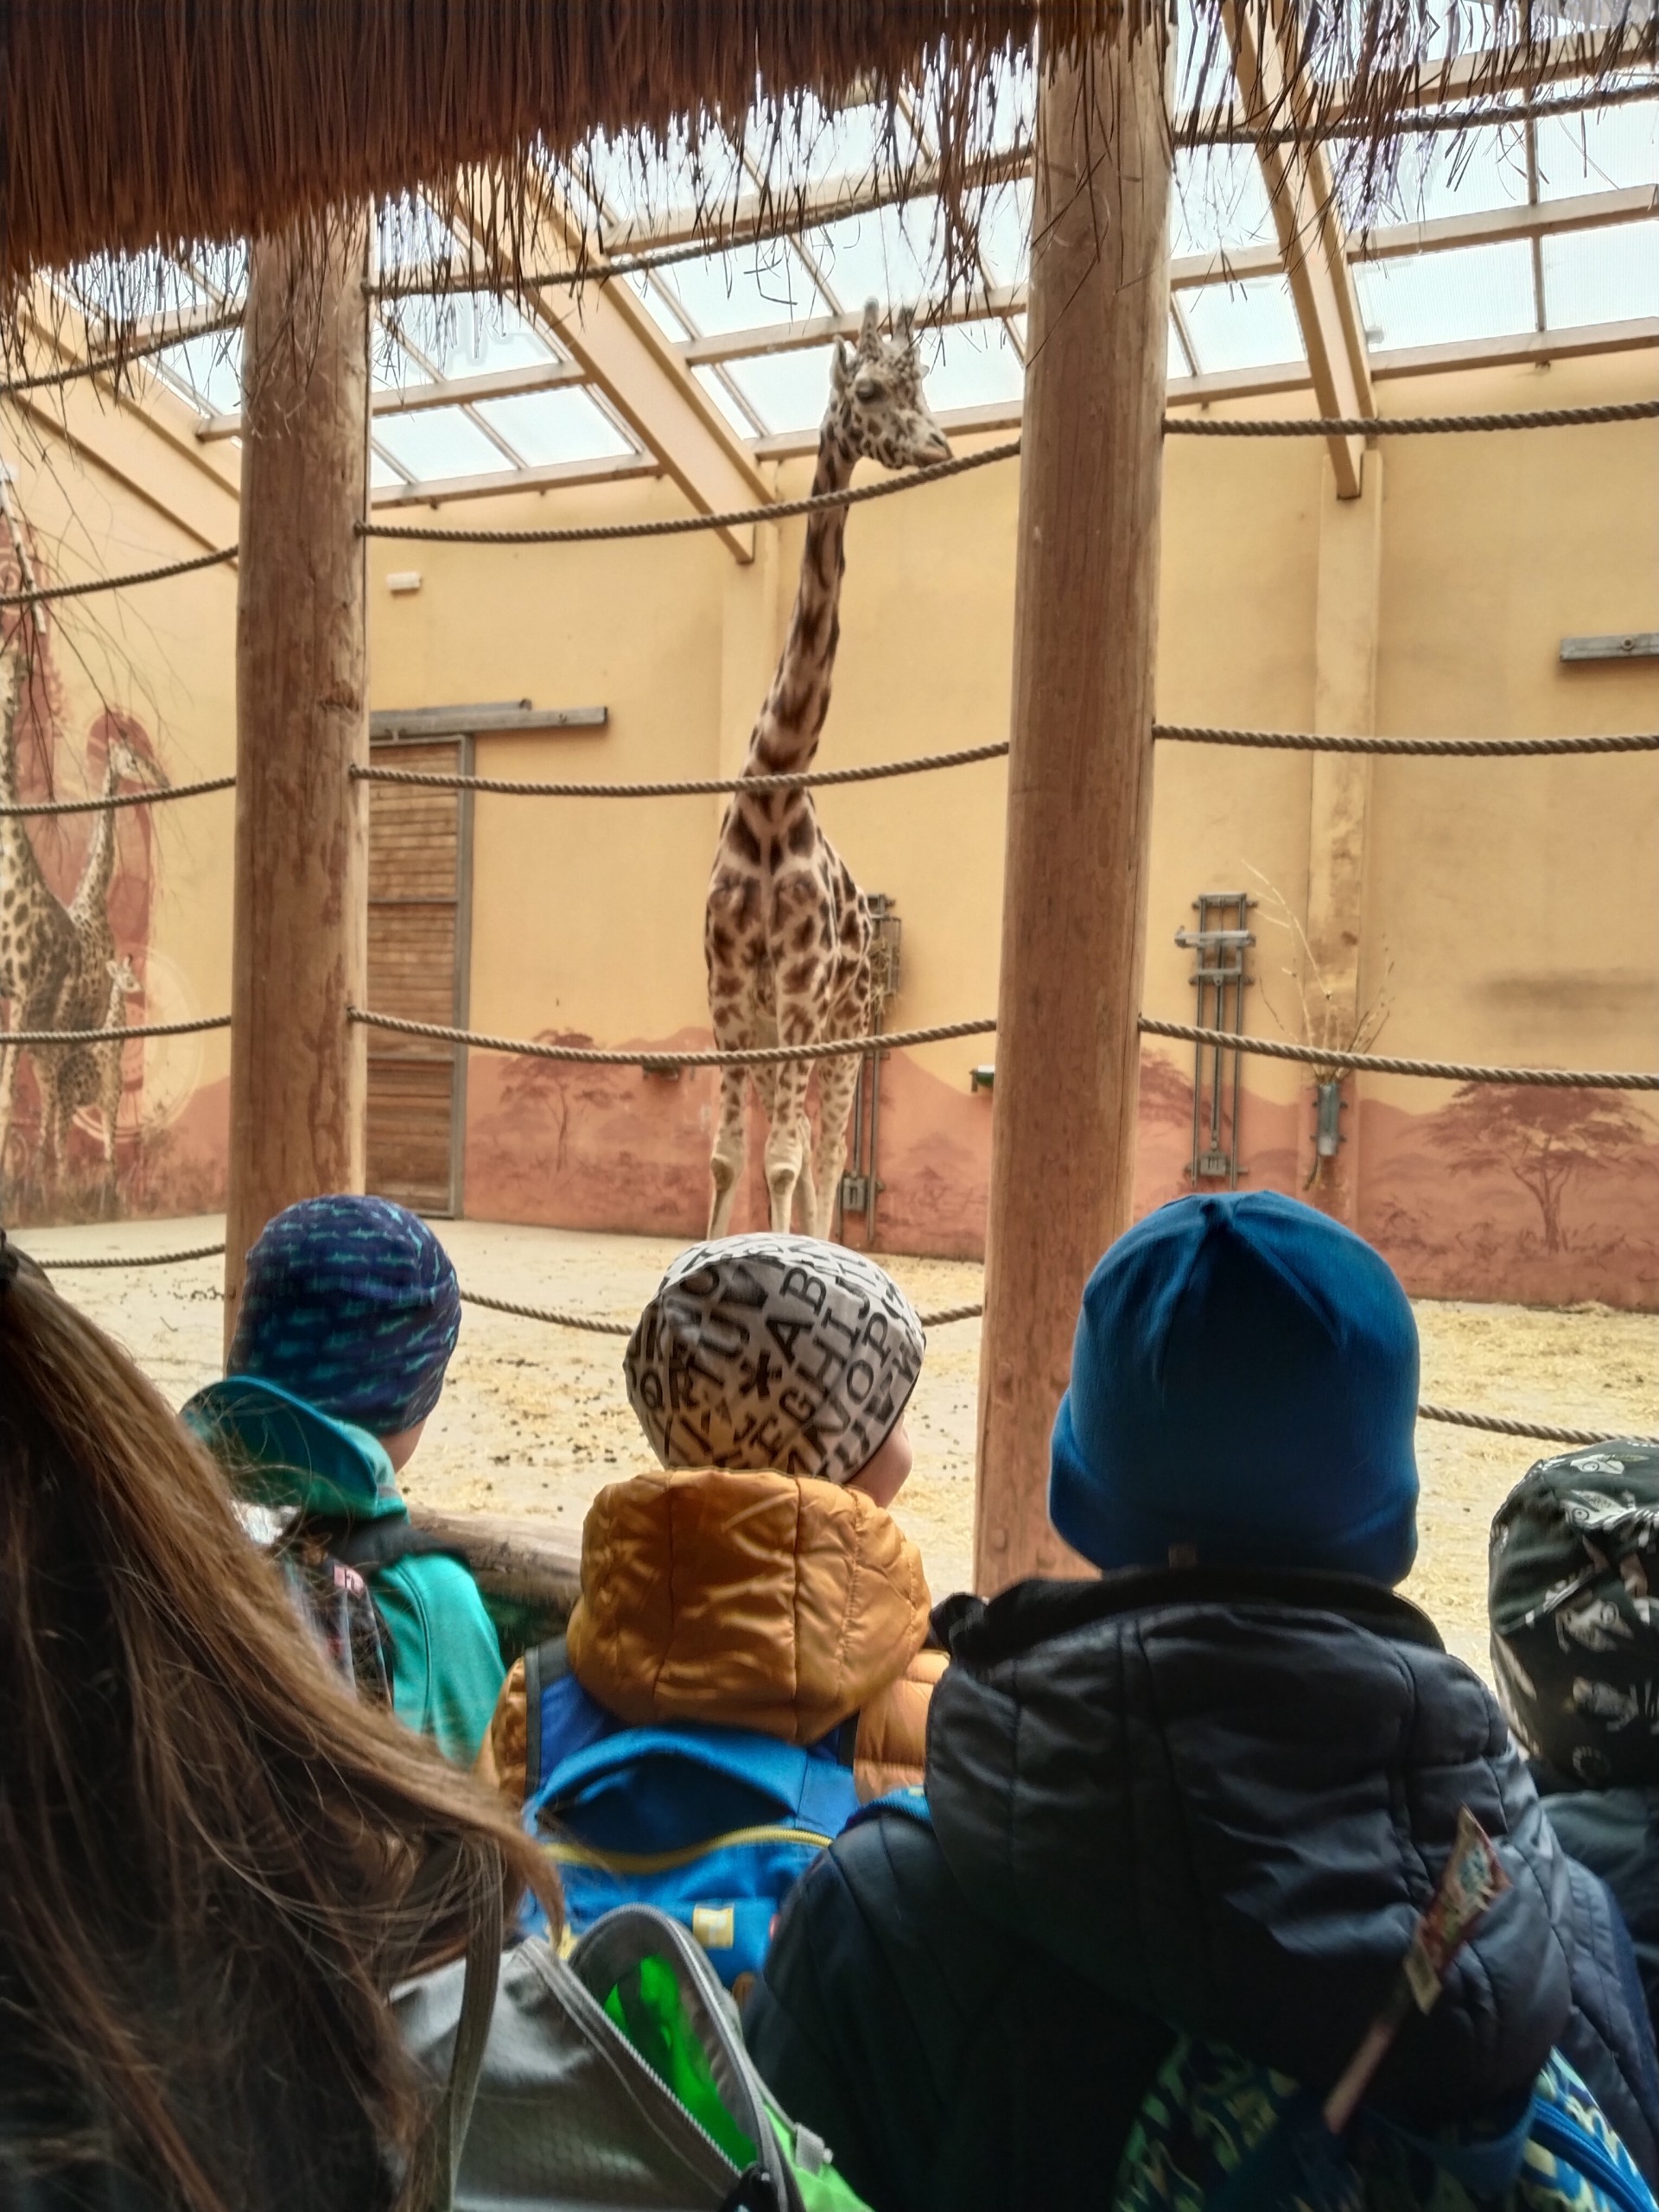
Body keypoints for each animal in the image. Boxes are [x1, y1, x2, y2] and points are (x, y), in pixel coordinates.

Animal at [705, 302, 949, 1239]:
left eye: (926, 389)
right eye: (872, 390)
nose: (941, 443)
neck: (774, 791)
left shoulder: (804, 994)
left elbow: (779, 1160)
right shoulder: (730, 991)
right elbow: (729, 1158)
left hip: (844, 1028)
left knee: (832, 1150)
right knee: (812, 1151)